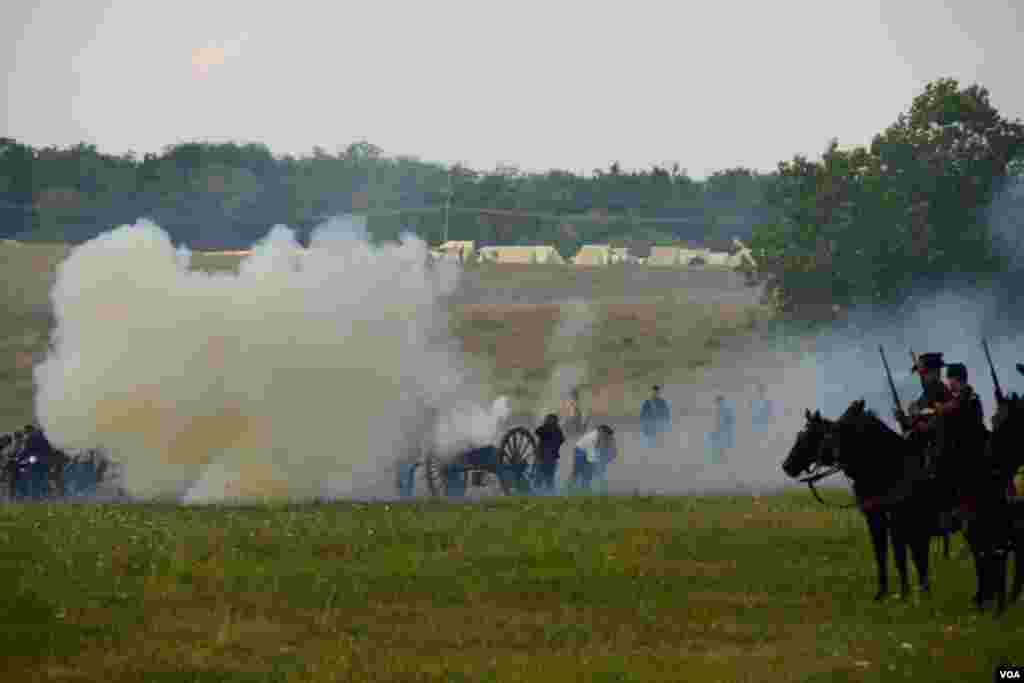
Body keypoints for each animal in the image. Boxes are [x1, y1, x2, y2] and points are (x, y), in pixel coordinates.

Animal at [782, 403, 942, 602]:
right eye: (799, 435)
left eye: (808, 436)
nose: (786, 466)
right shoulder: (876, 519)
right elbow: (881, 554)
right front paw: (882, 593)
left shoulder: (899, 520)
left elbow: (901, 555)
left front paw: (906, 594)